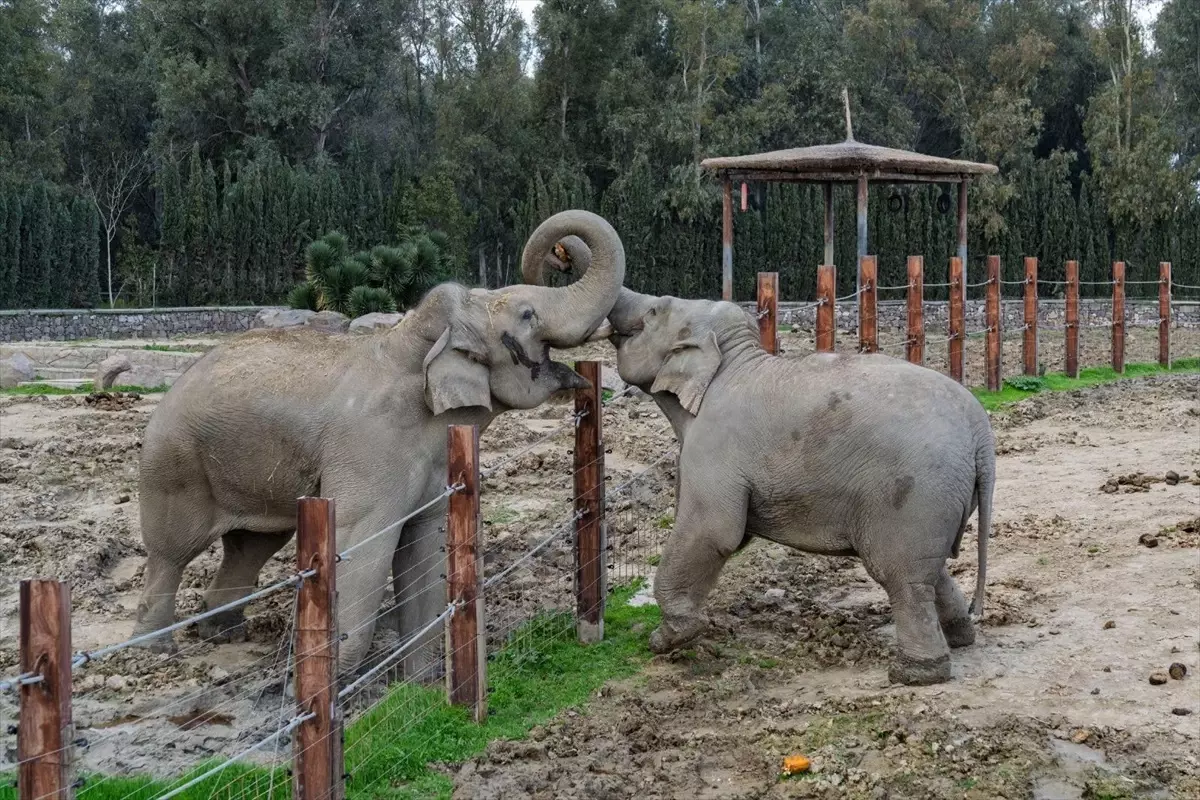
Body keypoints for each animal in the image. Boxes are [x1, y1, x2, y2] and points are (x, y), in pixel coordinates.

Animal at [133, 208, 628, 676]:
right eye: (527, 315)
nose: (561, 255)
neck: (409, 342)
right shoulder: (370, 452)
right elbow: (361, 554)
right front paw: (335, 686)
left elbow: (424, 551)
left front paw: (420, 683)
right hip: (174, 464)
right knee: (172, 551)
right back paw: (155, 651)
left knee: (250, 544)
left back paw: (223, 633)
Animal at [525, 237, 993, 690]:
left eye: (654, 311)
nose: (559, 256)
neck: (733, 361)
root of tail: (981, 435)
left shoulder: (714, 447)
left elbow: (714, 531)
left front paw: (667, 641)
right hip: (935, 500)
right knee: (930, 570)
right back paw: (960, 638)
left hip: (913, 493)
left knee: (902, 576)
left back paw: (914, 674)